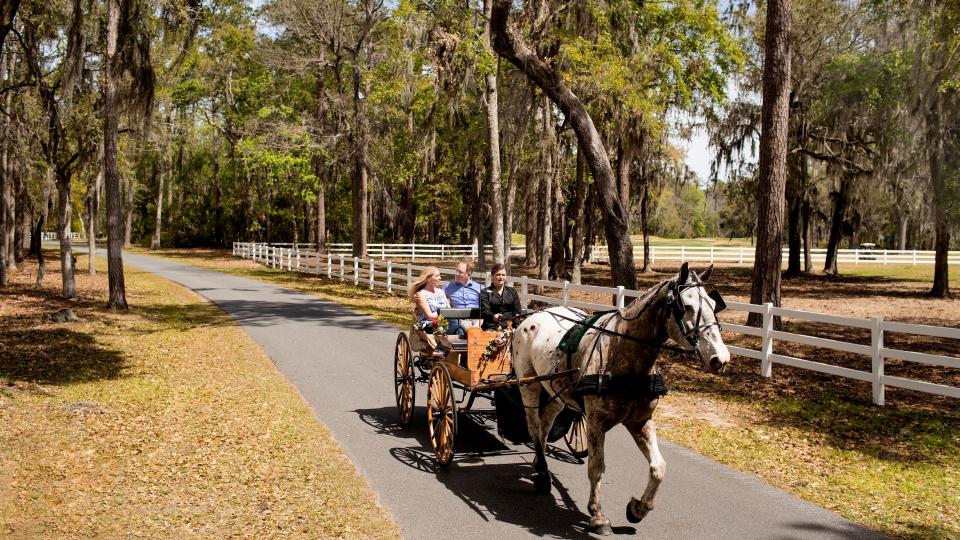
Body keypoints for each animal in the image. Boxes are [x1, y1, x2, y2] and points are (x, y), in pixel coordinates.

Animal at [512, 264, 732, 532]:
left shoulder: (640, 422)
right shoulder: (596, 423)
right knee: (534, 427)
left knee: (544, 429)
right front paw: (597, 515)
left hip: (556, 393)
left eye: (713, 303)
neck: (623, 353)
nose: (720, 358)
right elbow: (596, 467)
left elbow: (659, 468)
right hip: (529, 386)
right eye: (686, 306)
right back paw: (543, 475)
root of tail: (533, 315)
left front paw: (638, 509)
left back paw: (539, 463)